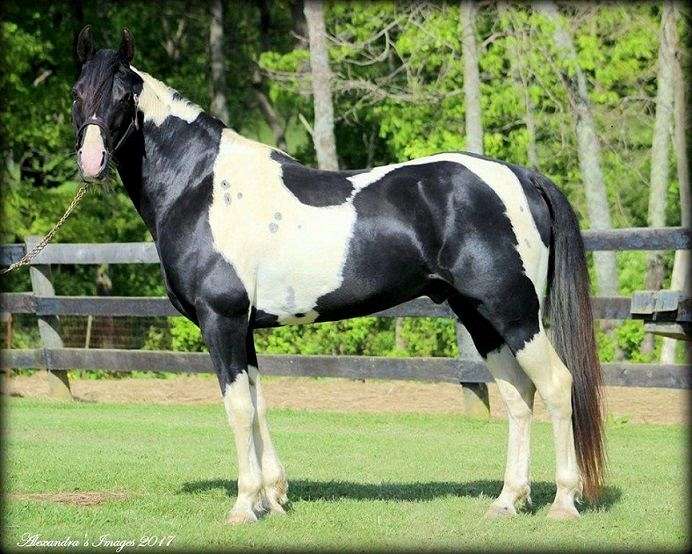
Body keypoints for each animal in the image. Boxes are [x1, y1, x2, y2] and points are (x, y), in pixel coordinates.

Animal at [71, 26, 604, 524]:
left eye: (123, 95)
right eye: (78, 91)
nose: (92, 162)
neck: (203, 186)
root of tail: (520, 176)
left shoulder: (221, 320)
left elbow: (238, 407)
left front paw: (245, 505)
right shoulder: (244, 327)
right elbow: (259, 403)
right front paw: (273, 498)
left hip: (514, 313)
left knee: (557, 385)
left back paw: (563, 502)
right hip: (480, 317)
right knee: (519, 396)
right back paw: (508, 500)